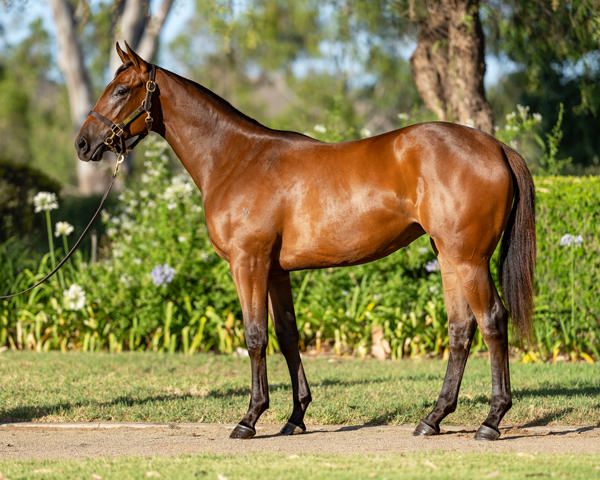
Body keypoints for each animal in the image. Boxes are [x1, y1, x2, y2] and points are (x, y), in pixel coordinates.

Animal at [76, 43, 540, 440]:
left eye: (121, 89)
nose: (83, 143)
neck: (236, 159)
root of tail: (496, 147)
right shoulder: (276, 271)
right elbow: (287, 337)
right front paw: (295, 417)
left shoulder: (248, 263)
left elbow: (255, 337)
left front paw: (249, 418)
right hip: (448, 257)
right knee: (461, 329)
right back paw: (433, 418)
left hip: (468, 258)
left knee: (492, 321)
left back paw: (491, 421)